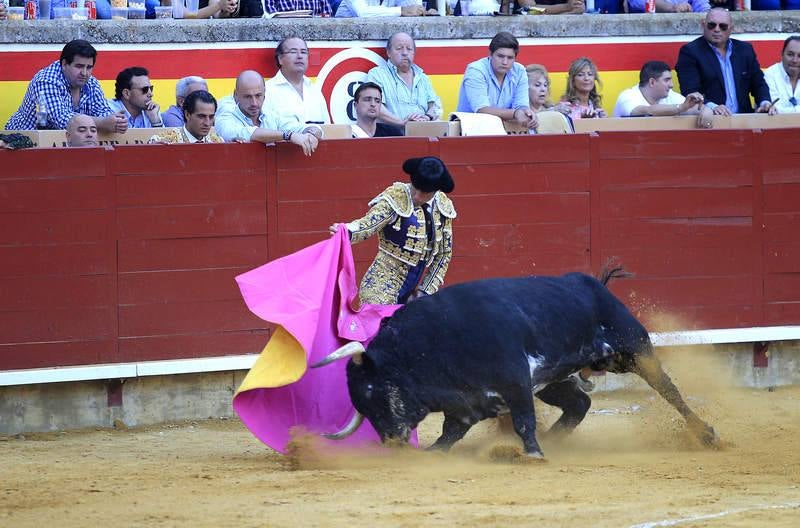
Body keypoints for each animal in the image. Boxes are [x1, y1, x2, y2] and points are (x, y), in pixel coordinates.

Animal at [312, 268, 720, 458]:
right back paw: (557, 439)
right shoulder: (467, 404)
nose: (392, 441)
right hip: (555, 380)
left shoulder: (515, 382)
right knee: (580, 402)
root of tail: (591, 282)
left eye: (373, 390)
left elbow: (523, 421)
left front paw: (534, 454)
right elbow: (448, 436)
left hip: (632, 348)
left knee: (667, 388)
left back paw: (706, 434)